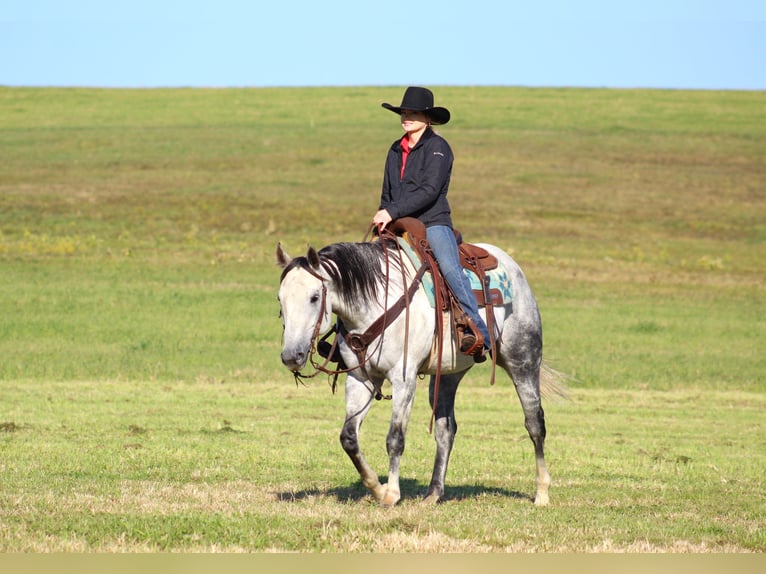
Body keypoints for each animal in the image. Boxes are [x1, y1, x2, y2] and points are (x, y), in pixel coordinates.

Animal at [278, 240, 560, 508]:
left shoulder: (404, 380)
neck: (374, 306)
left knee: (535, 423)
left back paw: (542, 493)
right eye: (280, 299)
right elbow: (348, 437)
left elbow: (395, 439)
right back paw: (433, 494)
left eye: (315, 297)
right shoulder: (361, 379)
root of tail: (510, 264)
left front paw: (391, 494)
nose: (291, 356)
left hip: (522, 360)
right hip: (448, 375)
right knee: (446, 430)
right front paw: (377, 488)